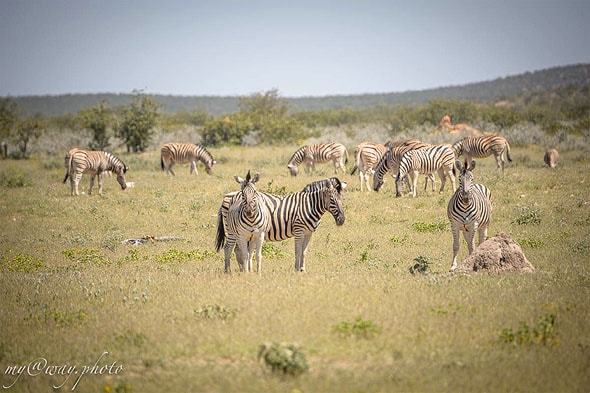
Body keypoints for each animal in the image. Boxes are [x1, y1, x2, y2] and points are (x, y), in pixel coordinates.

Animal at [216, 177, 346, 270]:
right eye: (332, 200)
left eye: (343, 199)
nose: (342, 220)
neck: (309, 205)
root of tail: (228, 195)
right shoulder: (299, 230)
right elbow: (298, 251)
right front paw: (296, 269)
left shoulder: (309, 233)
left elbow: (304, 252)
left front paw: (303, 269)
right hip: (232, 230)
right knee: (228, 248)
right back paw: (228, 271)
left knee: (237, 250)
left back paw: (243, 269)